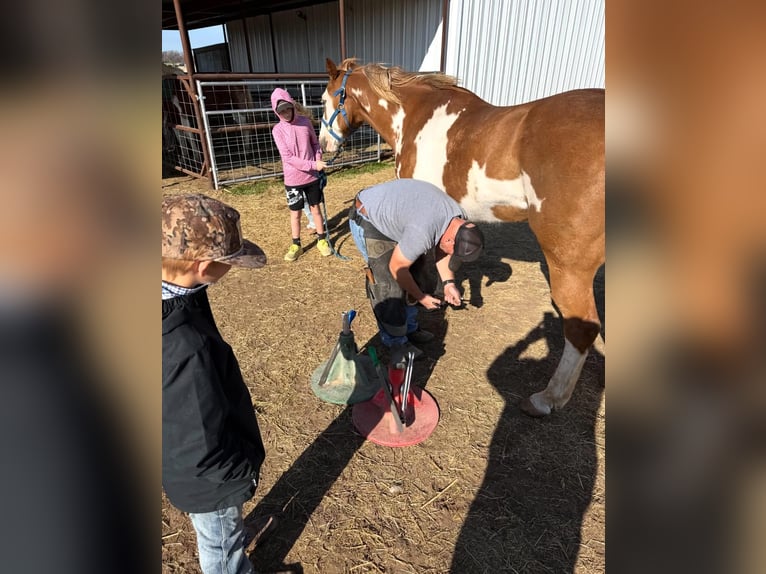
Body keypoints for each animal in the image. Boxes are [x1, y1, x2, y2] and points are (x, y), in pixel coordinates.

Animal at [318, 58, 604, 417]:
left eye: (323, 100)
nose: (323, 146)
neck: (413, 115)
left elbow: (418, 273)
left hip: (568, 262)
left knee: (582, 327)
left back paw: (547, 399)